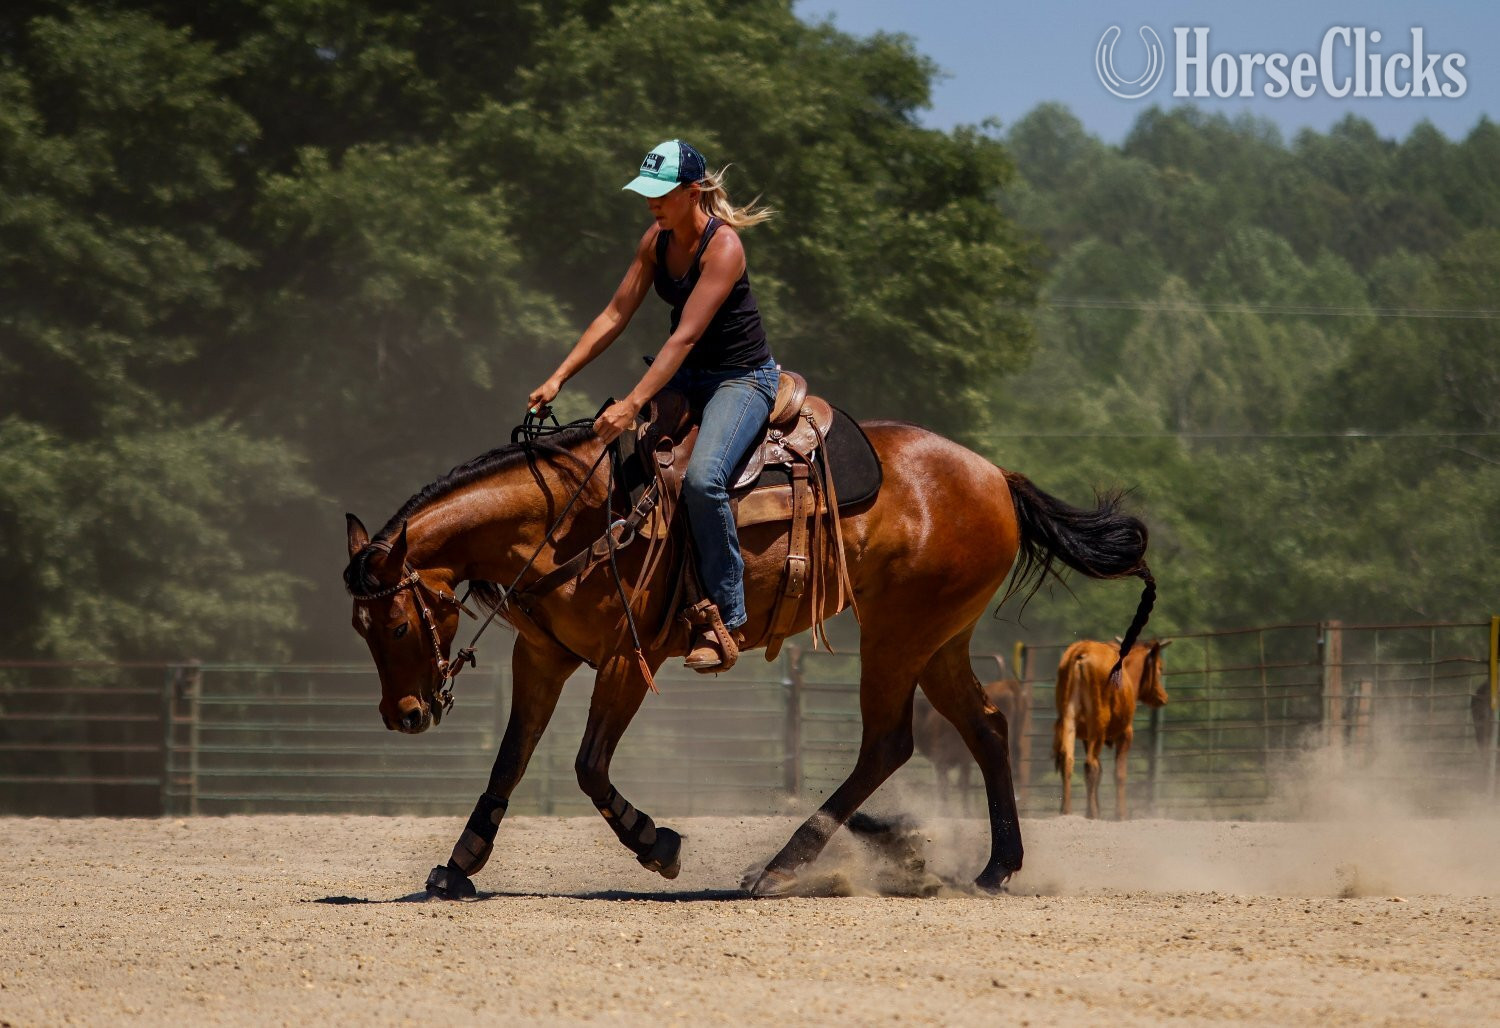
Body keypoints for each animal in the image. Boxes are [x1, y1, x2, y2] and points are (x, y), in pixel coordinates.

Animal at [342, 416, 1154, 898]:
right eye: (361, 627)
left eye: (397, 626)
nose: (403, 714)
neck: (577, 521)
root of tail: (996, 478)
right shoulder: (542, 656)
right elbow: (510, 761)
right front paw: (458, 867)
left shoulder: (627, 659)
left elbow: (588, 767)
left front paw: (658, 844)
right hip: (938, 639)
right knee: (985, 728)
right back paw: (992, 867)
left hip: (899, 634)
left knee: (888, 743)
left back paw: (782, 866)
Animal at [1051, 638, 1169, 820]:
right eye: (1160, 668)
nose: (1163, 697)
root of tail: (1081, 650)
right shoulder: (1125, 734)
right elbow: (1119, 773)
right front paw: (1120, 814)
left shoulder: (1086, 738)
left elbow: (1100, 772)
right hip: (1099, 722)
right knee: (1090, 764)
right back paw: (1092, 813)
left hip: (1069, 720)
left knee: (1068, 761)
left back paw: (1067, 811)